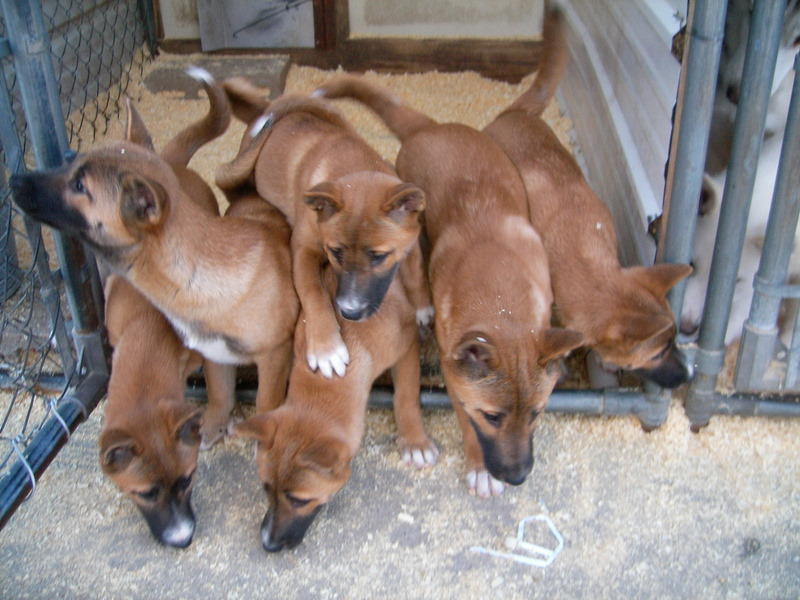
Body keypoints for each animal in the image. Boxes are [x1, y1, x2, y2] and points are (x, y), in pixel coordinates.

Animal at [9, 69, 298, 432]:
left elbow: (264, 404)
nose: (13, 181)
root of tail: (169, 160)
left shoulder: (275, 355)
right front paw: (209, 428)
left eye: (79, 186)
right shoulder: (215, 354)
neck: (196, 272)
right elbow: (220, 398)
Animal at [217, 81, 432, 380]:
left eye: (378, 257)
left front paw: (423, 307)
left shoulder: (409, 236)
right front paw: (326, 349)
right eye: (335, 252)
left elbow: (415, 272)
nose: (349, 313)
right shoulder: (303, 251)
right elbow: (313, 293)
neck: (352, 167)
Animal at [316, 70, 584, 496]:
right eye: (492, 416)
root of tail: (431, 126)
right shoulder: (457, 381)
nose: (518, 477)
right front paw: (478, 468)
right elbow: (467, 425)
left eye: (537, 413)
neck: (499, 297)